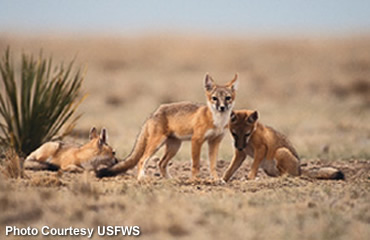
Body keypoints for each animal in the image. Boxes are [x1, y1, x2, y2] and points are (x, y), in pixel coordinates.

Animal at [97, 73, 238, 180]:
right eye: (214, 98)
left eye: (227, 98)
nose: (222, 107)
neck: (217, 121)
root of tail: (153, 113)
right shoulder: (196, 140)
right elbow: (196, 164)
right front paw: (195, 180)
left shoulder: (215, 141)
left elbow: (213, 165)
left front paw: (216, 179)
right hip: (157, 143)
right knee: (142, 160)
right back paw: (141, 178)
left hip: (174, 147)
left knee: (161, 163)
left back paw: (169, 180)